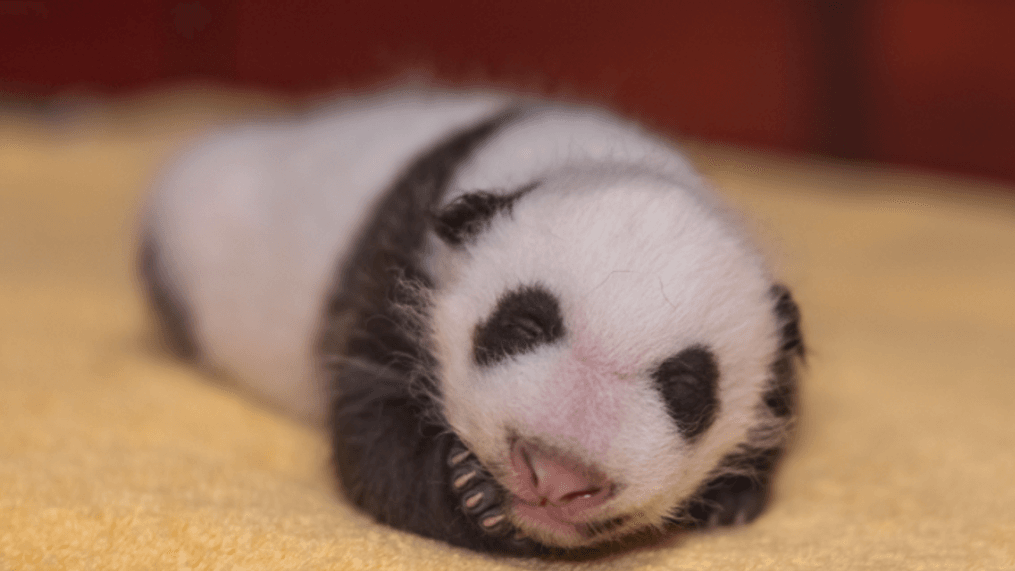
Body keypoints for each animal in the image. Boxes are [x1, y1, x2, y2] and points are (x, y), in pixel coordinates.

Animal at [139, 89, 803, 559]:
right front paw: (470, 493)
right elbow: (368, 429)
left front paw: (729, 500)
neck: (594, 156)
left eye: (685, 387)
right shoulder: (404, 271)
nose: (556, 475)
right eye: (524, 326)